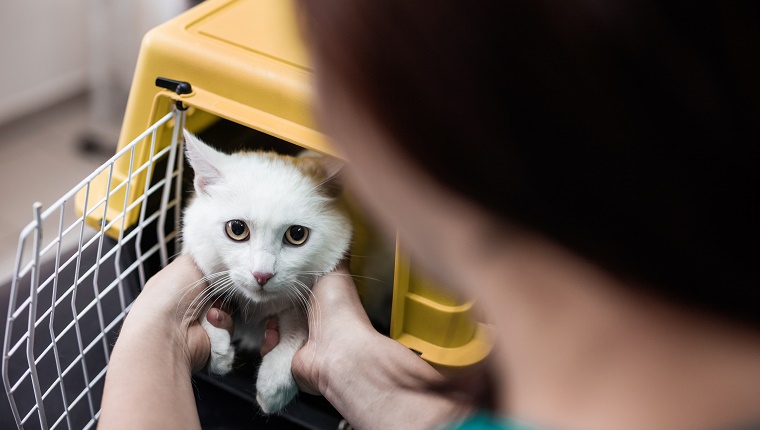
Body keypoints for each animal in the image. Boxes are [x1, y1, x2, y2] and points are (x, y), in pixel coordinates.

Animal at [181, 130, 354, 414]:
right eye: (237, 229)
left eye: (297, 234)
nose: (262, 275)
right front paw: (217, 347)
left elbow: (300, 324)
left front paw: (275, 383)